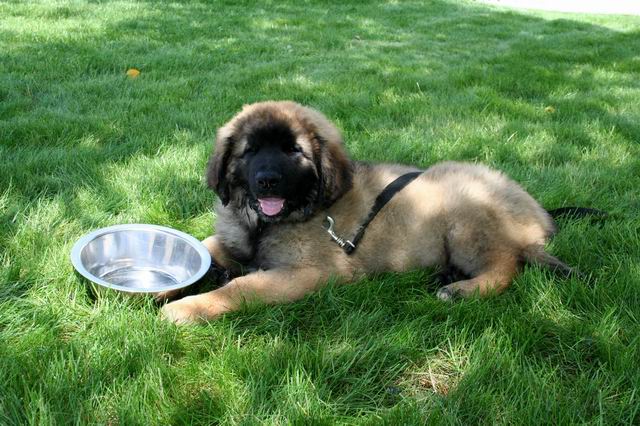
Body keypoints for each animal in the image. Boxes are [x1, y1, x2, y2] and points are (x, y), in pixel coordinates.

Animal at [160, 101, 576, 324]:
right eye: (251, 150)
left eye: (293, 151)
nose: (267, 181)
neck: (266, 223)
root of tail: (539, 217)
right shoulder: (236, 240)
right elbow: (209, 245)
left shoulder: (312, 272)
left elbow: (243, 287)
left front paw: (190, 306)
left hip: (465, 212)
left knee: (508, 265)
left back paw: (463, 289)